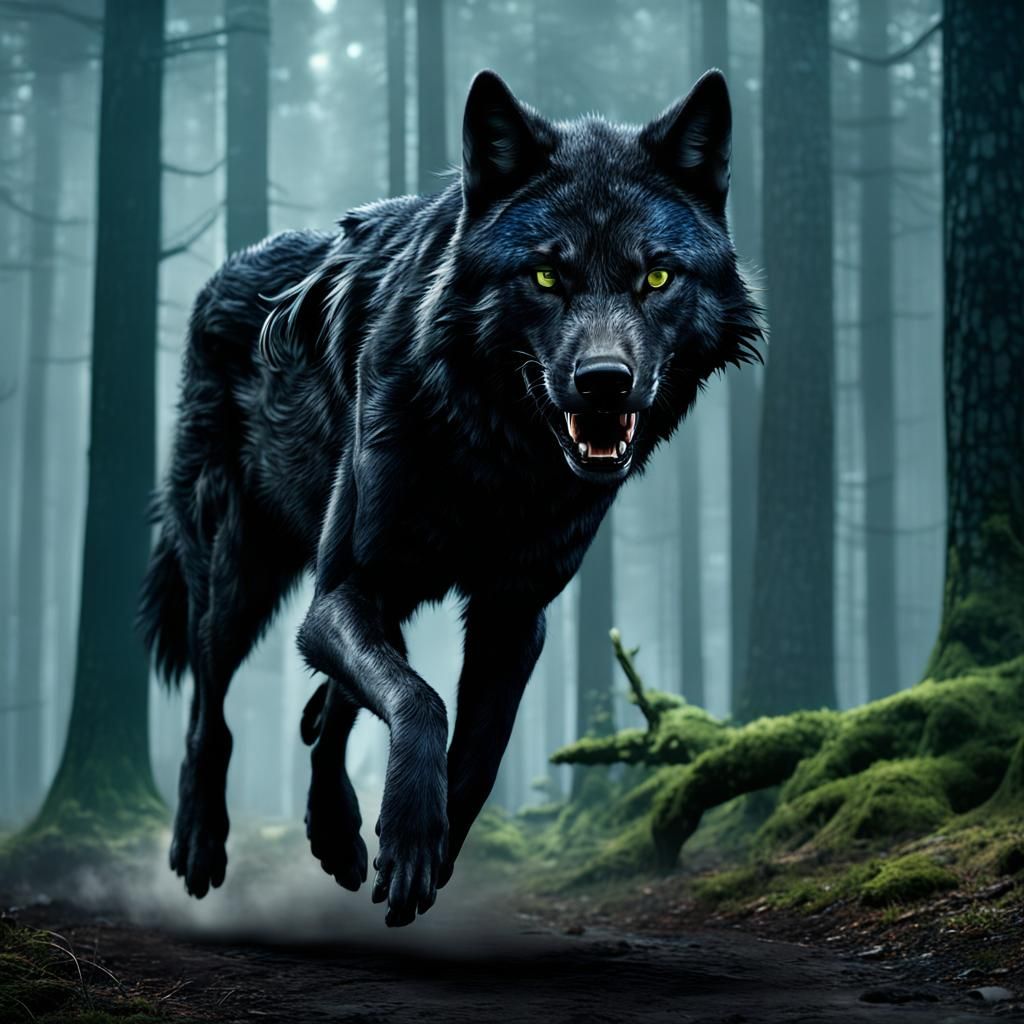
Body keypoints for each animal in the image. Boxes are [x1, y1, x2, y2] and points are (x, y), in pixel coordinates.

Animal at [138, 68, 761, 926]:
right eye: (546, 275)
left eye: (658, 275)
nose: (605, 382)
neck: (495, 459)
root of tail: (219, 276)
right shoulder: (346, 585)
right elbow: (419, 699)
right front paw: (406, 832)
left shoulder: (513, 615)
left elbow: (476, 753)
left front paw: (421, 850)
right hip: (238, 577)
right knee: (210, 708)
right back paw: (201, 844)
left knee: (334, 705)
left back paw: (333, 829)